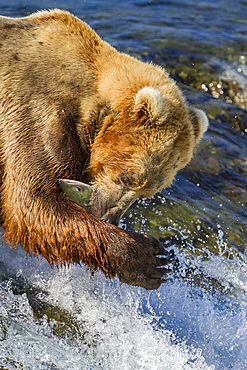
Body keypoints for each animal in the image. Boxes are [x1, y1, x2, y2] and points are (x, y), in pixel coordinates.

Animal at [0, 9, 208, 290]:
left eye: (149, 193)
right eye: (127, 177)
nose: (109, 217)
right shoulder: (34, 111)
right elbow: (34, 202)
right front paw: (151, 258)